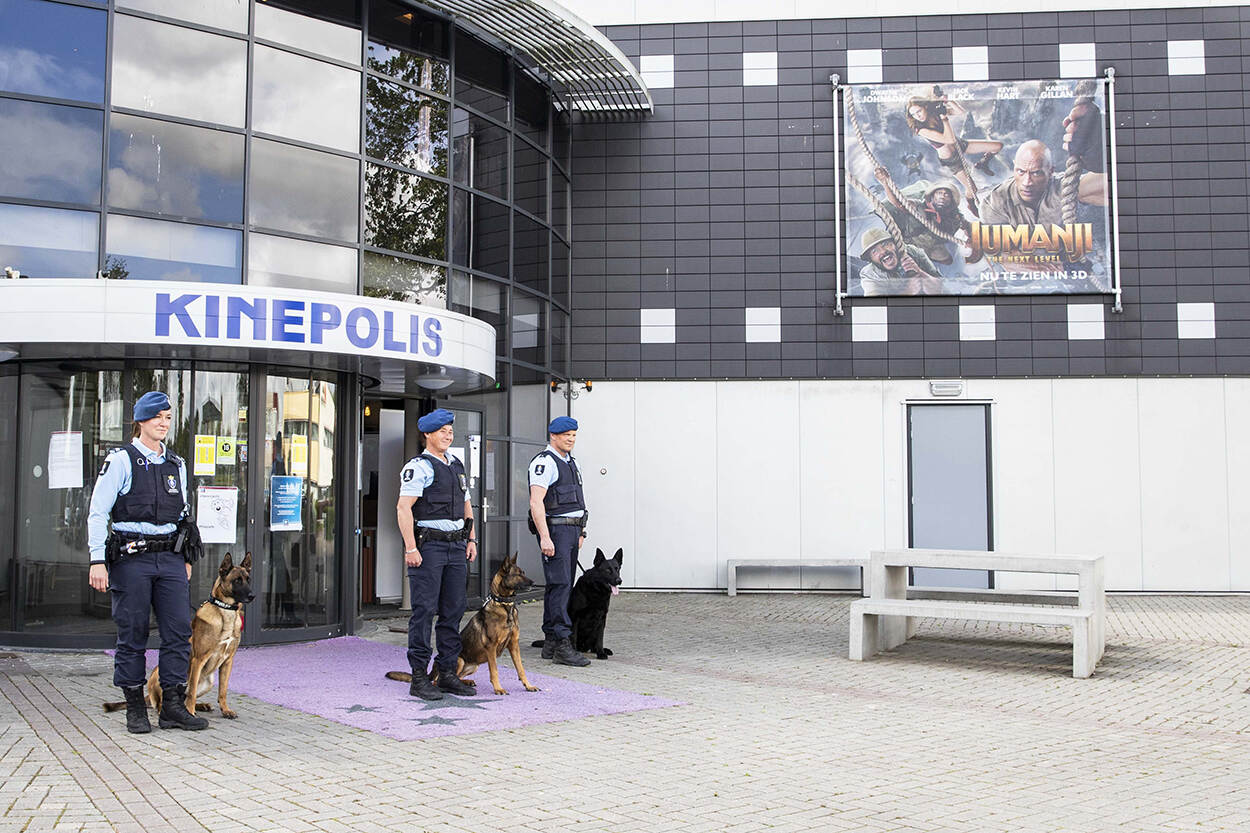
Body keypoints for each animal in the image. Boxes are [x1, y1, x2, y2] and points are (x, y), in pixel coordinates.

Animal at [103, 552, 254, 719]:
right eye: (237, 581)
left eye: (248, 579)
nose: (252, 595)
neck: (225, 612)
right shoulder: (198, 660)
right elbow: (192, 692)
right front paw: (191, 712)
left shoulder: (228, 661)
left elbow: (223, 690)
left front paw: (225, 710)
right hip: (163, 675)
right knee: (165, 702)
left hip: (209, 682)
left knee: (183, 698)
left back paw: (201, 706)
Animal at [387, 553, 539, 696]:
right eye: (518, 575)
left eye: (523, 572)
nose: (533, 583)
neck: (504, 605)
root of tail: (432, 671)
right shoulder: (491, 647)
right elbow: (494, 670)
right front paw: (498, 688)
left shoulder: (514, 645)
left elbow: (521, 669)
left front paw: (528, 685)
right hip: (459, 660)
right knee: (437, 681)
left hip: (473, 666)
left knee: (456, 677)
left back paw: (466, 683)